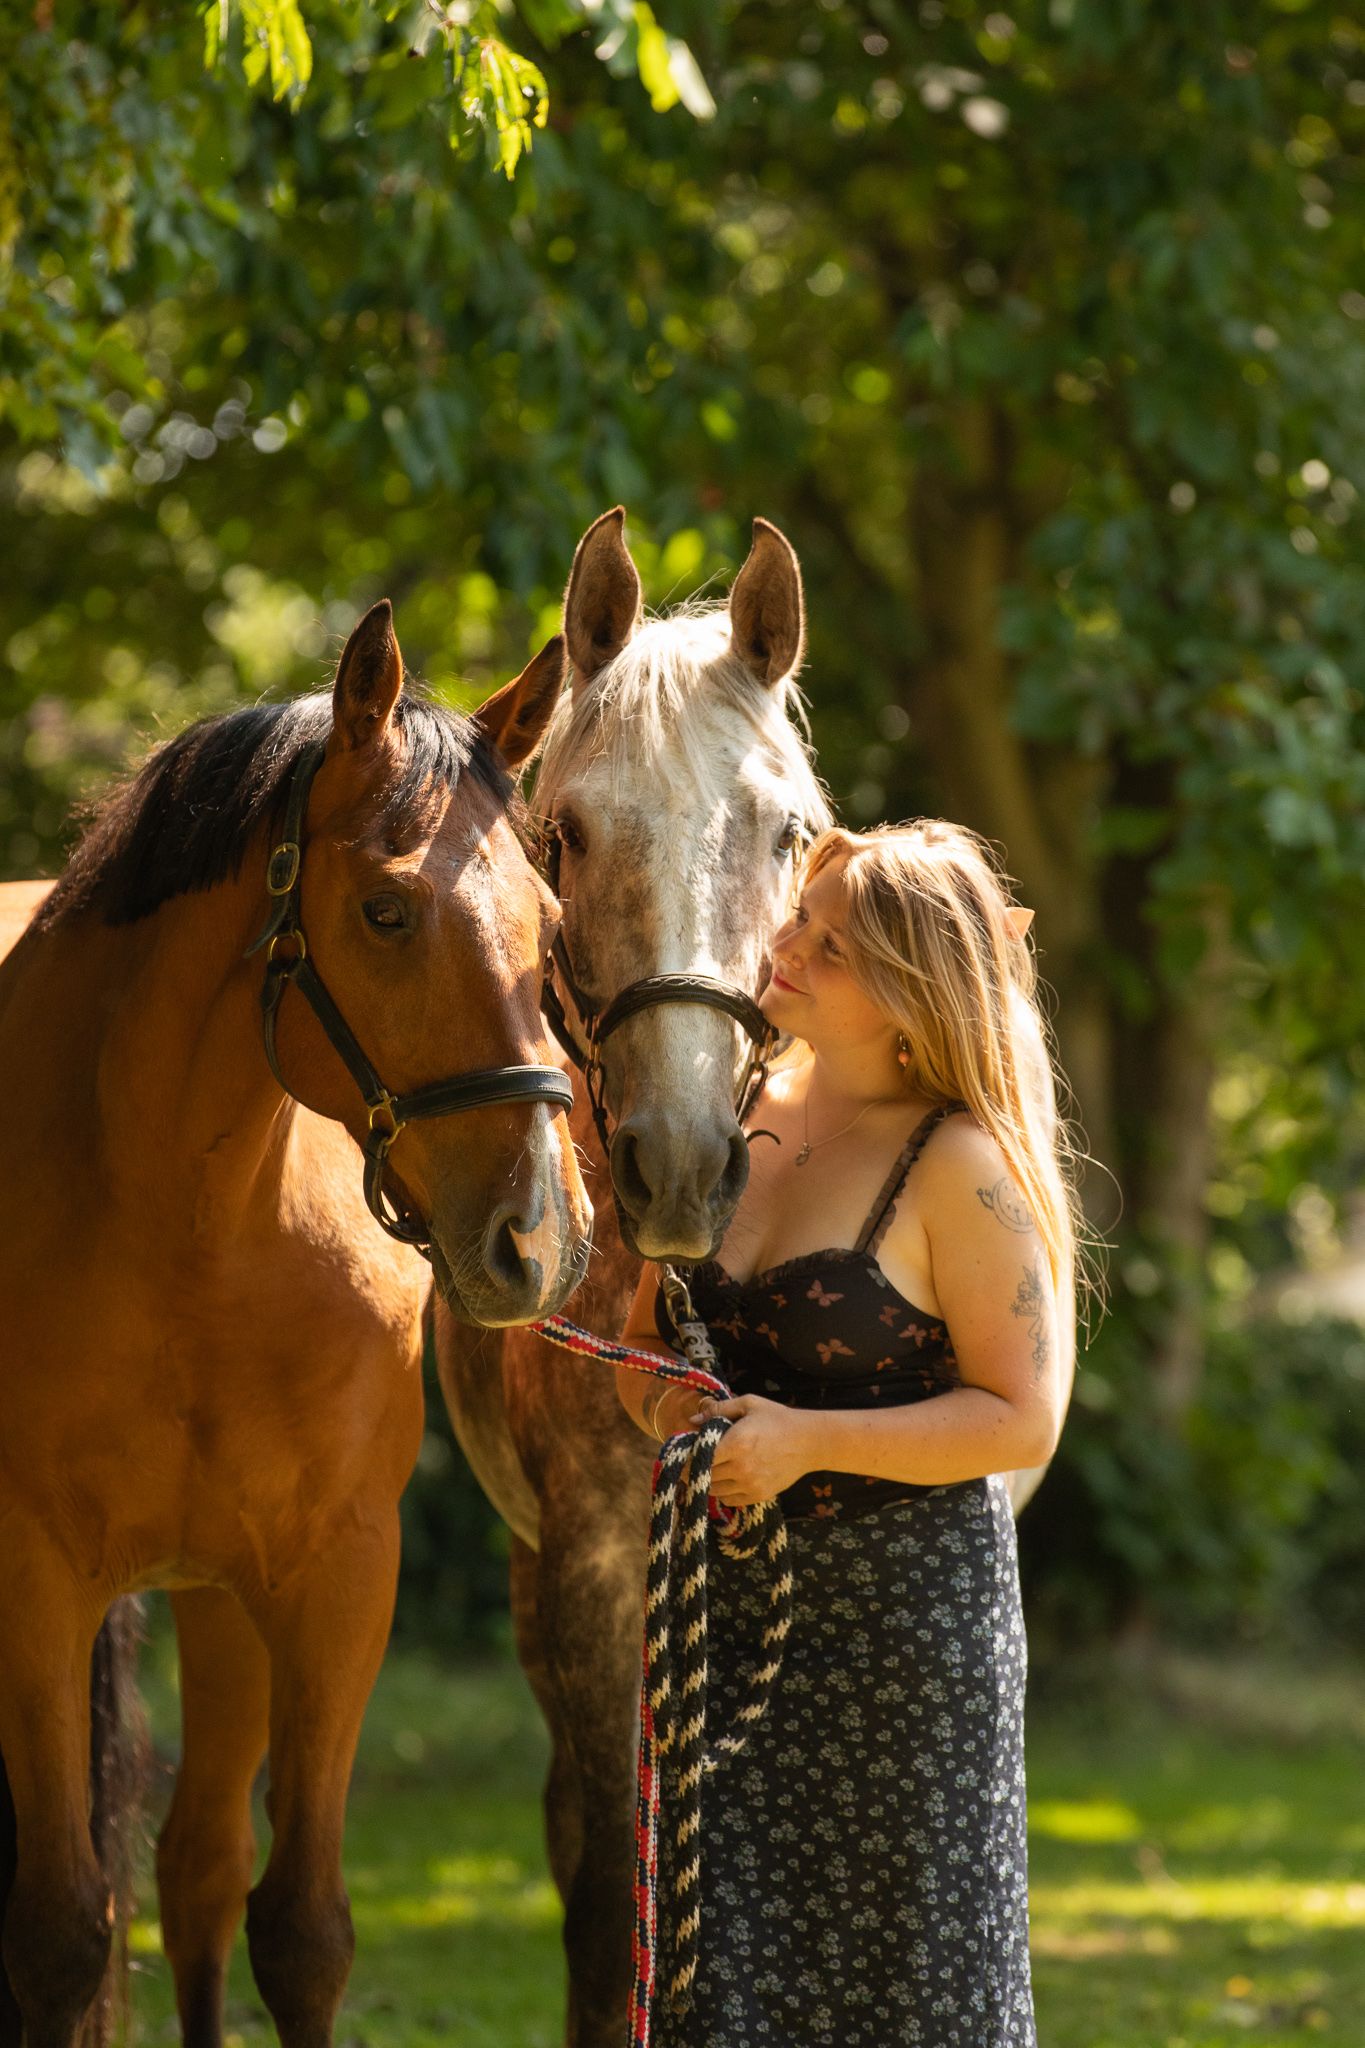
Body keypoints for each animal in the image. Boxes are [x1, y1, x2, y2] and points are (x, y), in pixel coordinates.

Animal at [0, 598, 593, 2048]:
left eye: (547, 915)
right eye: (386, 908)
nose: (540, 1240)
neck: (189, 1231)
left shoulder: (334, 1577)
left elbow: (300, 1931)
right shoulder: (30, 1577)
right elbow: (57, 1932)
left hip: (221, 1600)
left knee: (200, 1868)